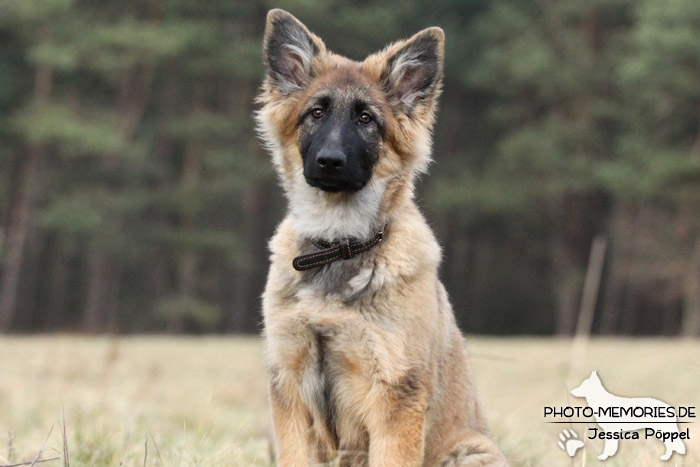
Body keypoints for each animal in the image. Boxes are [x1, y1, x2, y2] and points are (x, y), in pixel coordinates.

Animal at [258, 9, 508, 466]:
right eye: (315, 114)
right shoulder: (290, 383)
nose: (330, 162)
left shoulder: (395, 392)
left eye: (365, 119)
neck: (340, 245)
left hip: (473, 452)